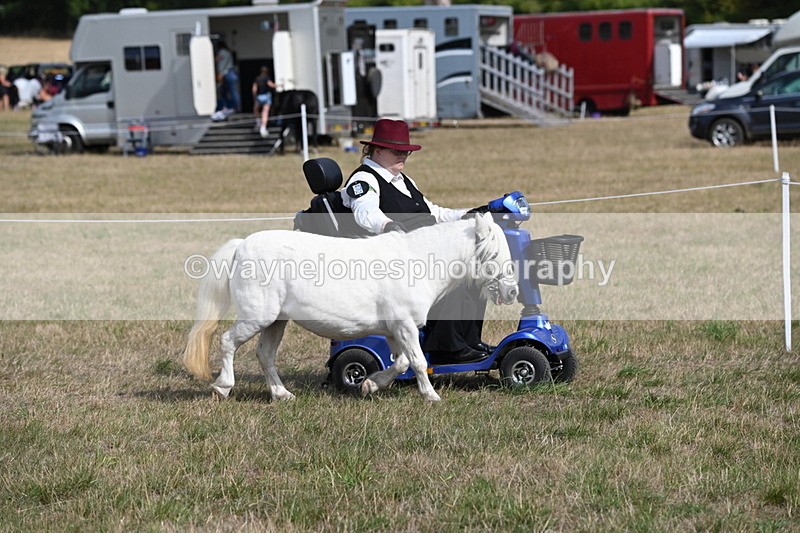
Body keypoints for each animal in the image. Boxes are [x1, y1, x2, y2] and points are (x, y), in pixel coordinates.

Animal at [182, 213, 519, 402]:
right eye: (493, 254)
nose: (512, 291)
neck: (416, 262)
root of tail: (241, 245)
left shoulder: (395, 330)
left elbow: (400, 363)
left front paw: (369, 385)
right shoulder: (406, 325)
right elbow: (419, 361)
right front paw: (432, 396)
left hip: (277, 321)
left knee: (265, 355)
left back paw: (281, 394)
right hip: (257, 316)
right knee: (228, 341)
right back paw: (223, 387)